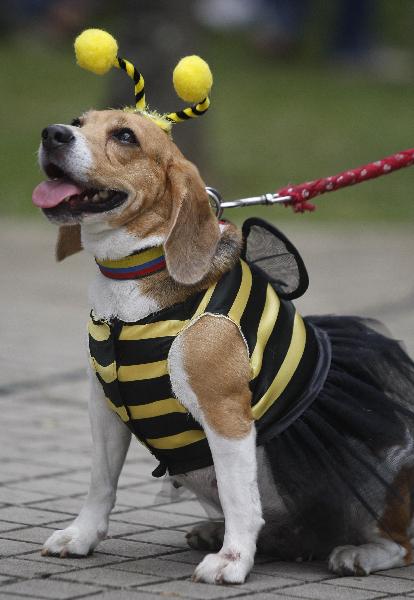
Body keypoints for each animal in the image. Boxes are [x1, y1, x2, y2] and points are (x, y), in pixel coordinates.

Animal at [33, 110, 414, 584]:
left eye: (125, 136)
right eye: (78, 121)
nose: (53, 134)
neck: (133, 280)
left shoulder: (225, 412)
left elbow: (239, 497)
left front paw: (233, 560)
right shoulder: (103, 410)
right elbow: (101, 482)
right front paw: (82, 535)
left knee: (401, 544)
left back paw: (358, 553)